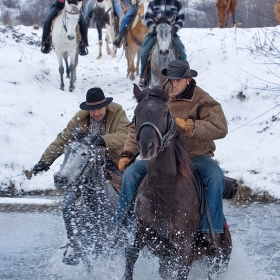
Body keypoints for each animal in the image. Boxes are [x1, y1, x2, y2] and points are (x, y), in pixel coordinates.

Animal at [122, 85, 232, 280]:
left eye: (165, 112)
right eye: (136, 112)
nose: (147, 147)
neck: (164, 191)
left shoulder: (185, 248)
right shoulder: (143, 234)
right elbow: (130, 258)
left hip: (219, 261)